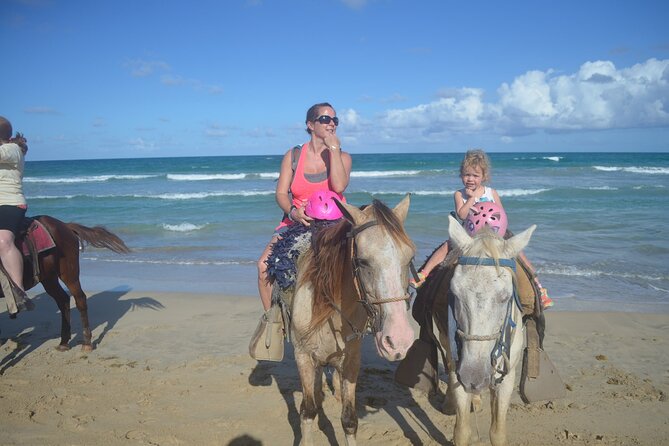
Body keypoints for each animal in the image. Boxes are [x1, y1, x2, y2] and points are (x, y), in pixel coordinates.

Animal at [9, 215, 129, 352]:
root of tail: (66, 225)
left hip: (69, 274)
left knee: (79, 299)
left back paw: (86, 343)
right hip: (49, 278)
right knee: (63, 300)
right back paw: (64, 342)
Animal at [290, 197, 414, 446]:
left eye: (410, 258)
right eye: (362, 261)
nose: (398, 342)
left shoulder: (351, 361)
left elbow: (349, 419)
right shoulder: (303, 356)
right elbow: (307, 411)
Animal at [436, 216, 536, 446]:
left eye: (506, 297)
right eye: (454, 292)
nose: (474, 375)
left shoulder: (507, 377)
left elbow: (498, 433)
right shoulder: (458, 371)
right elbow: (462, 432)